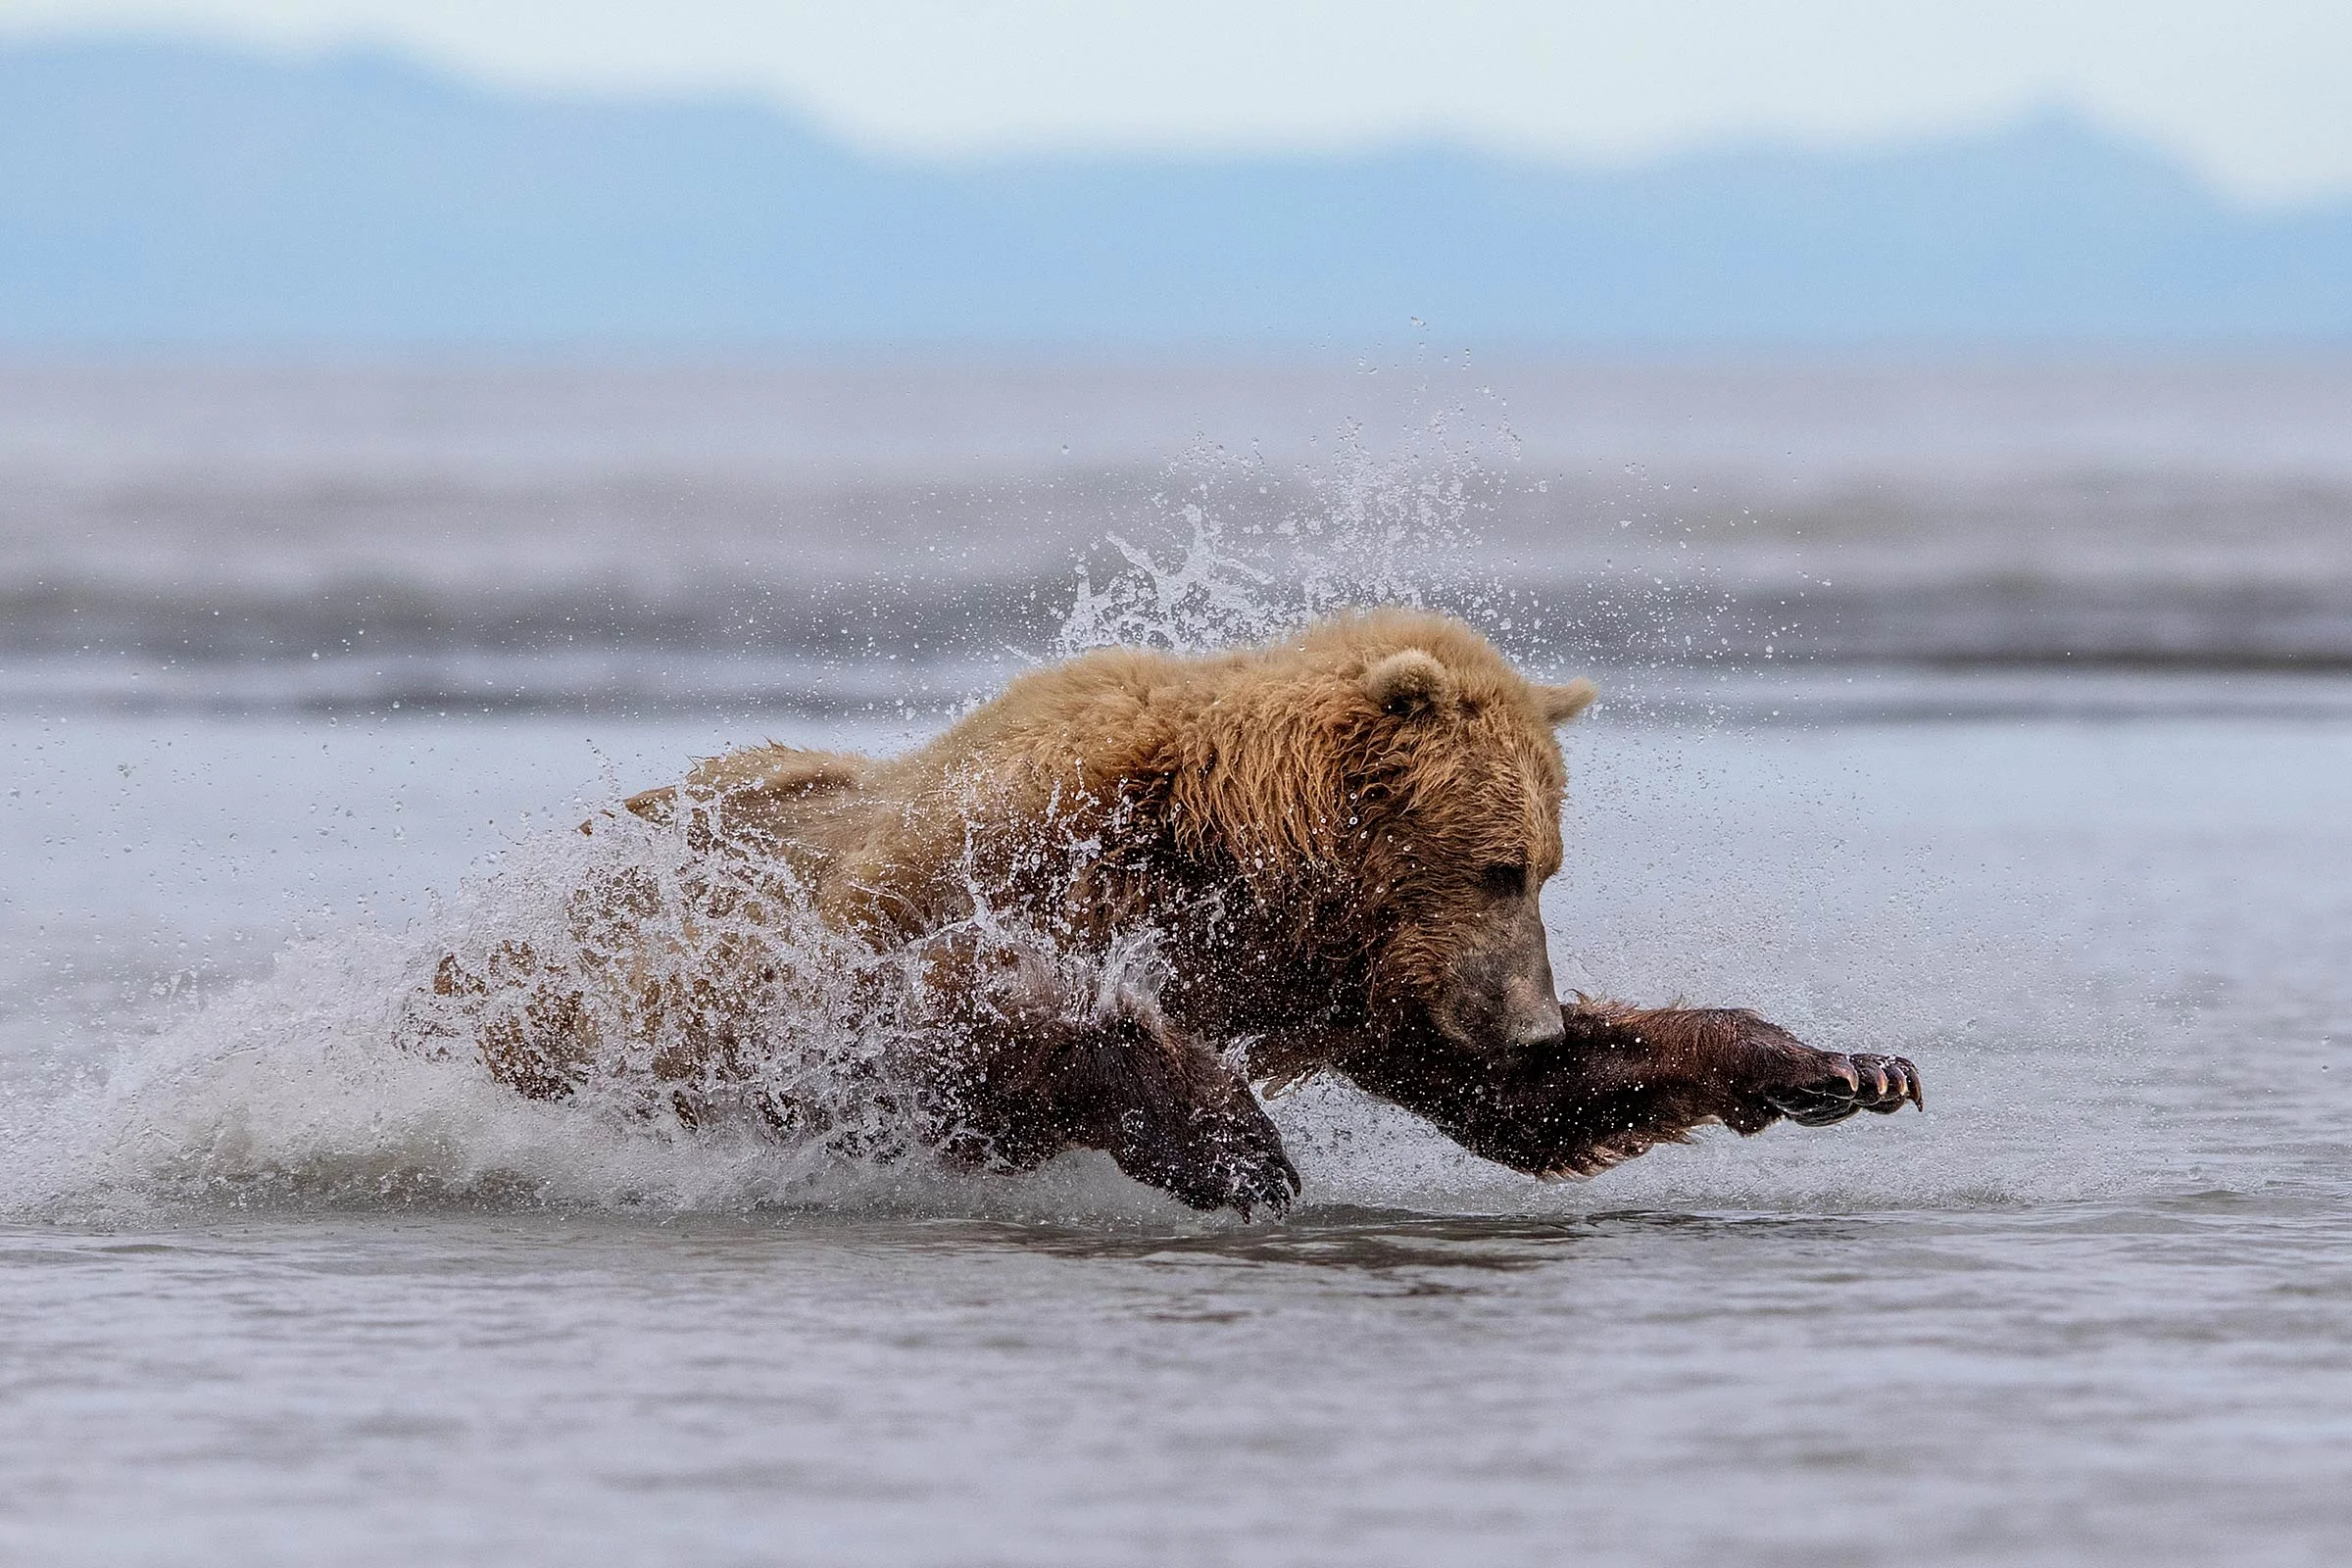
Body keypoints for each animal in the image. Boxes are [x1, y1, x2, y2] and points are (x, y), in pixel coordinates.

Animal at [421, 607, 1920, 1216]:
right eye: (1504, 865)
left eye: (1552, 863)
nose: (1532, 1019)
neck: (1247, 869)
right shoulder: (1014, 862)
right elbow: (956, 1013)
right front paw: (1237, 1146)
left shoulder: (1344, 984)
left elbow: (1511, 1107)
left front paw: (1840, 1065)